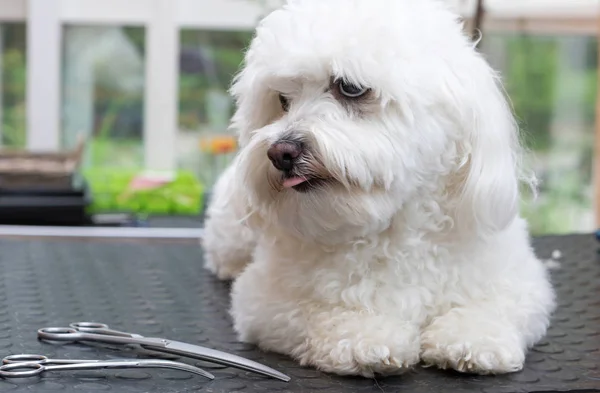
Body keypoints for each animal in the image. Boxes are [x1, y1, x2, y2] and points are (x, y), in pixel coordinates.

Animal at [203, 0, 556, 378]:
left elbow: (497, 305)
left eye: (350, 88)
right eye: (282, 100)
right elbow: (319, 311)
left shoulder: (521, 282)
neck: (394, 229)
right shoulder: (264, 298)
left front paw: (472, 337)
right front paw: (366, 337)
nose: (281, 152)